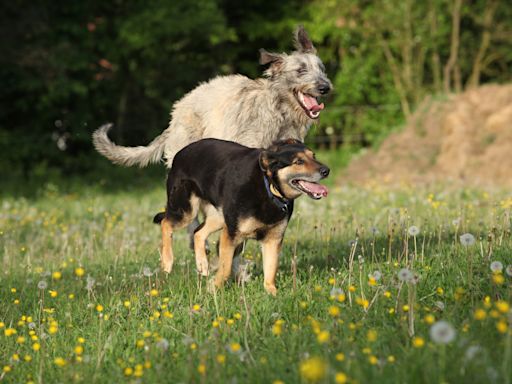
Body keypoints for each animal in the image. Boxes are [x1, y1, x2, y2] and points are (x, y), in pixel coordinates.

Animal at [153, 140, 328, 296]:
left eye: (313, 156)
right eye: (298, 161)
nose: (326, 170)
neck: (269, 188)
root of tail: (179, 154)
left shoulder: (273, 239)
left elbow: (271, 270)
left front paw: (272, 293)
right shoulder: (231, 235)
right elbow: (226, 268)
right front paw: (213, 288)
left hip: (219, 217)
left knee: (198, 232)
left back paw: (202, 264)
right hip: (186, 210)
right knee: (165, 223)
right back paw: (167, 262)